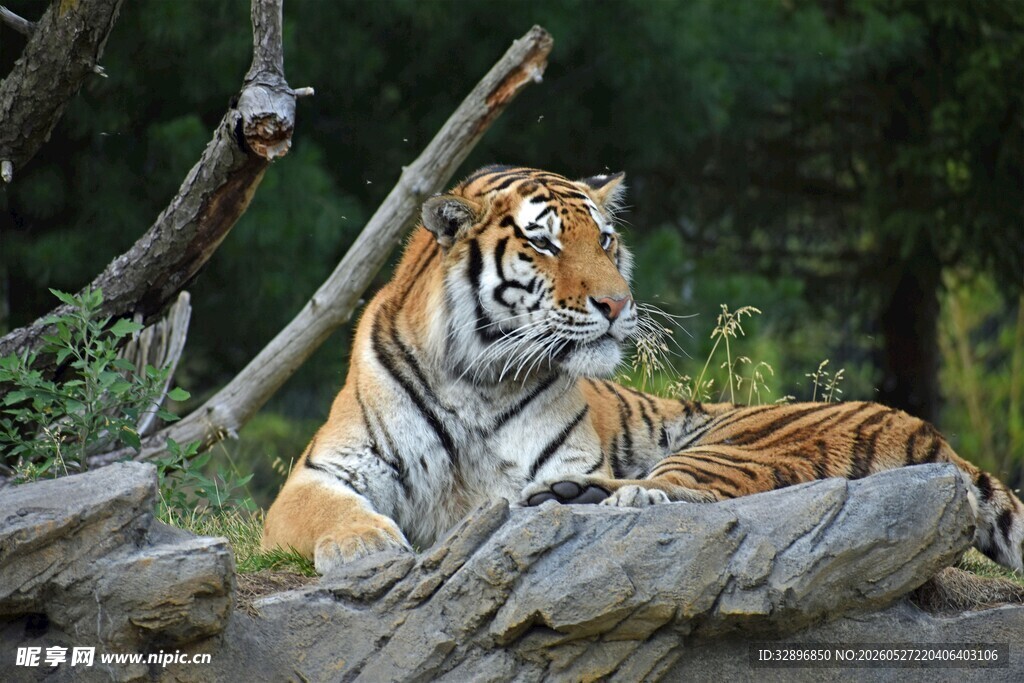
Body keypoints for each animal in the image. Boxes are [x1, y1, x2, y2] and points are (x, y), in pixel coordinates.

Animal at [262, 165, 1024, 575]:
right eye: (544, 245)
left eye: (604, 239)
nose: (617, 302)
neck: (477, 377)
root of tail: (937, 437)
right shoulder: (324, 471)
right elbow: (327, 508)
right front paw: (363, 545)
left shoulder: (560, 453)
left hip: (741, 441)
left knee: (687, 493)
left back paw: (591, 498)